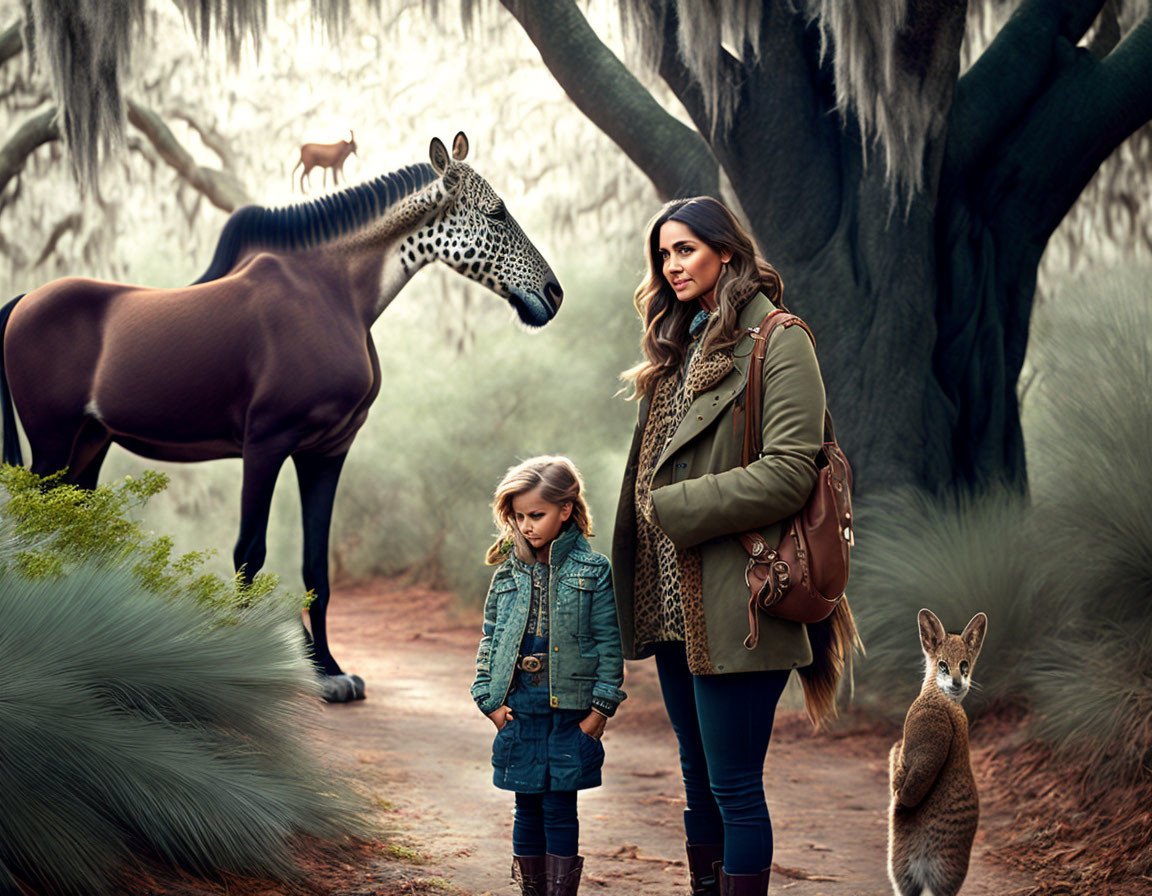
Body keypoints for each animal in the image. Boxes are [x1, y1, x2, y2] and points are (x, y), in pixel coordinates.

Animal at [0, 132, 562, 700]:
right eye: (495, 213)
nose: (554, 295)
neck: (334, 294)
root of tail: (24, 300)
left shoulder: (326, 452)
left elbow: (316, 568)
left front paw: (330, 671)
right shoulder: (266, 444)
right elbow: (250, 550)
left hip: (90, 443)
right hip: (52, 442)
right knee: (36, 523)